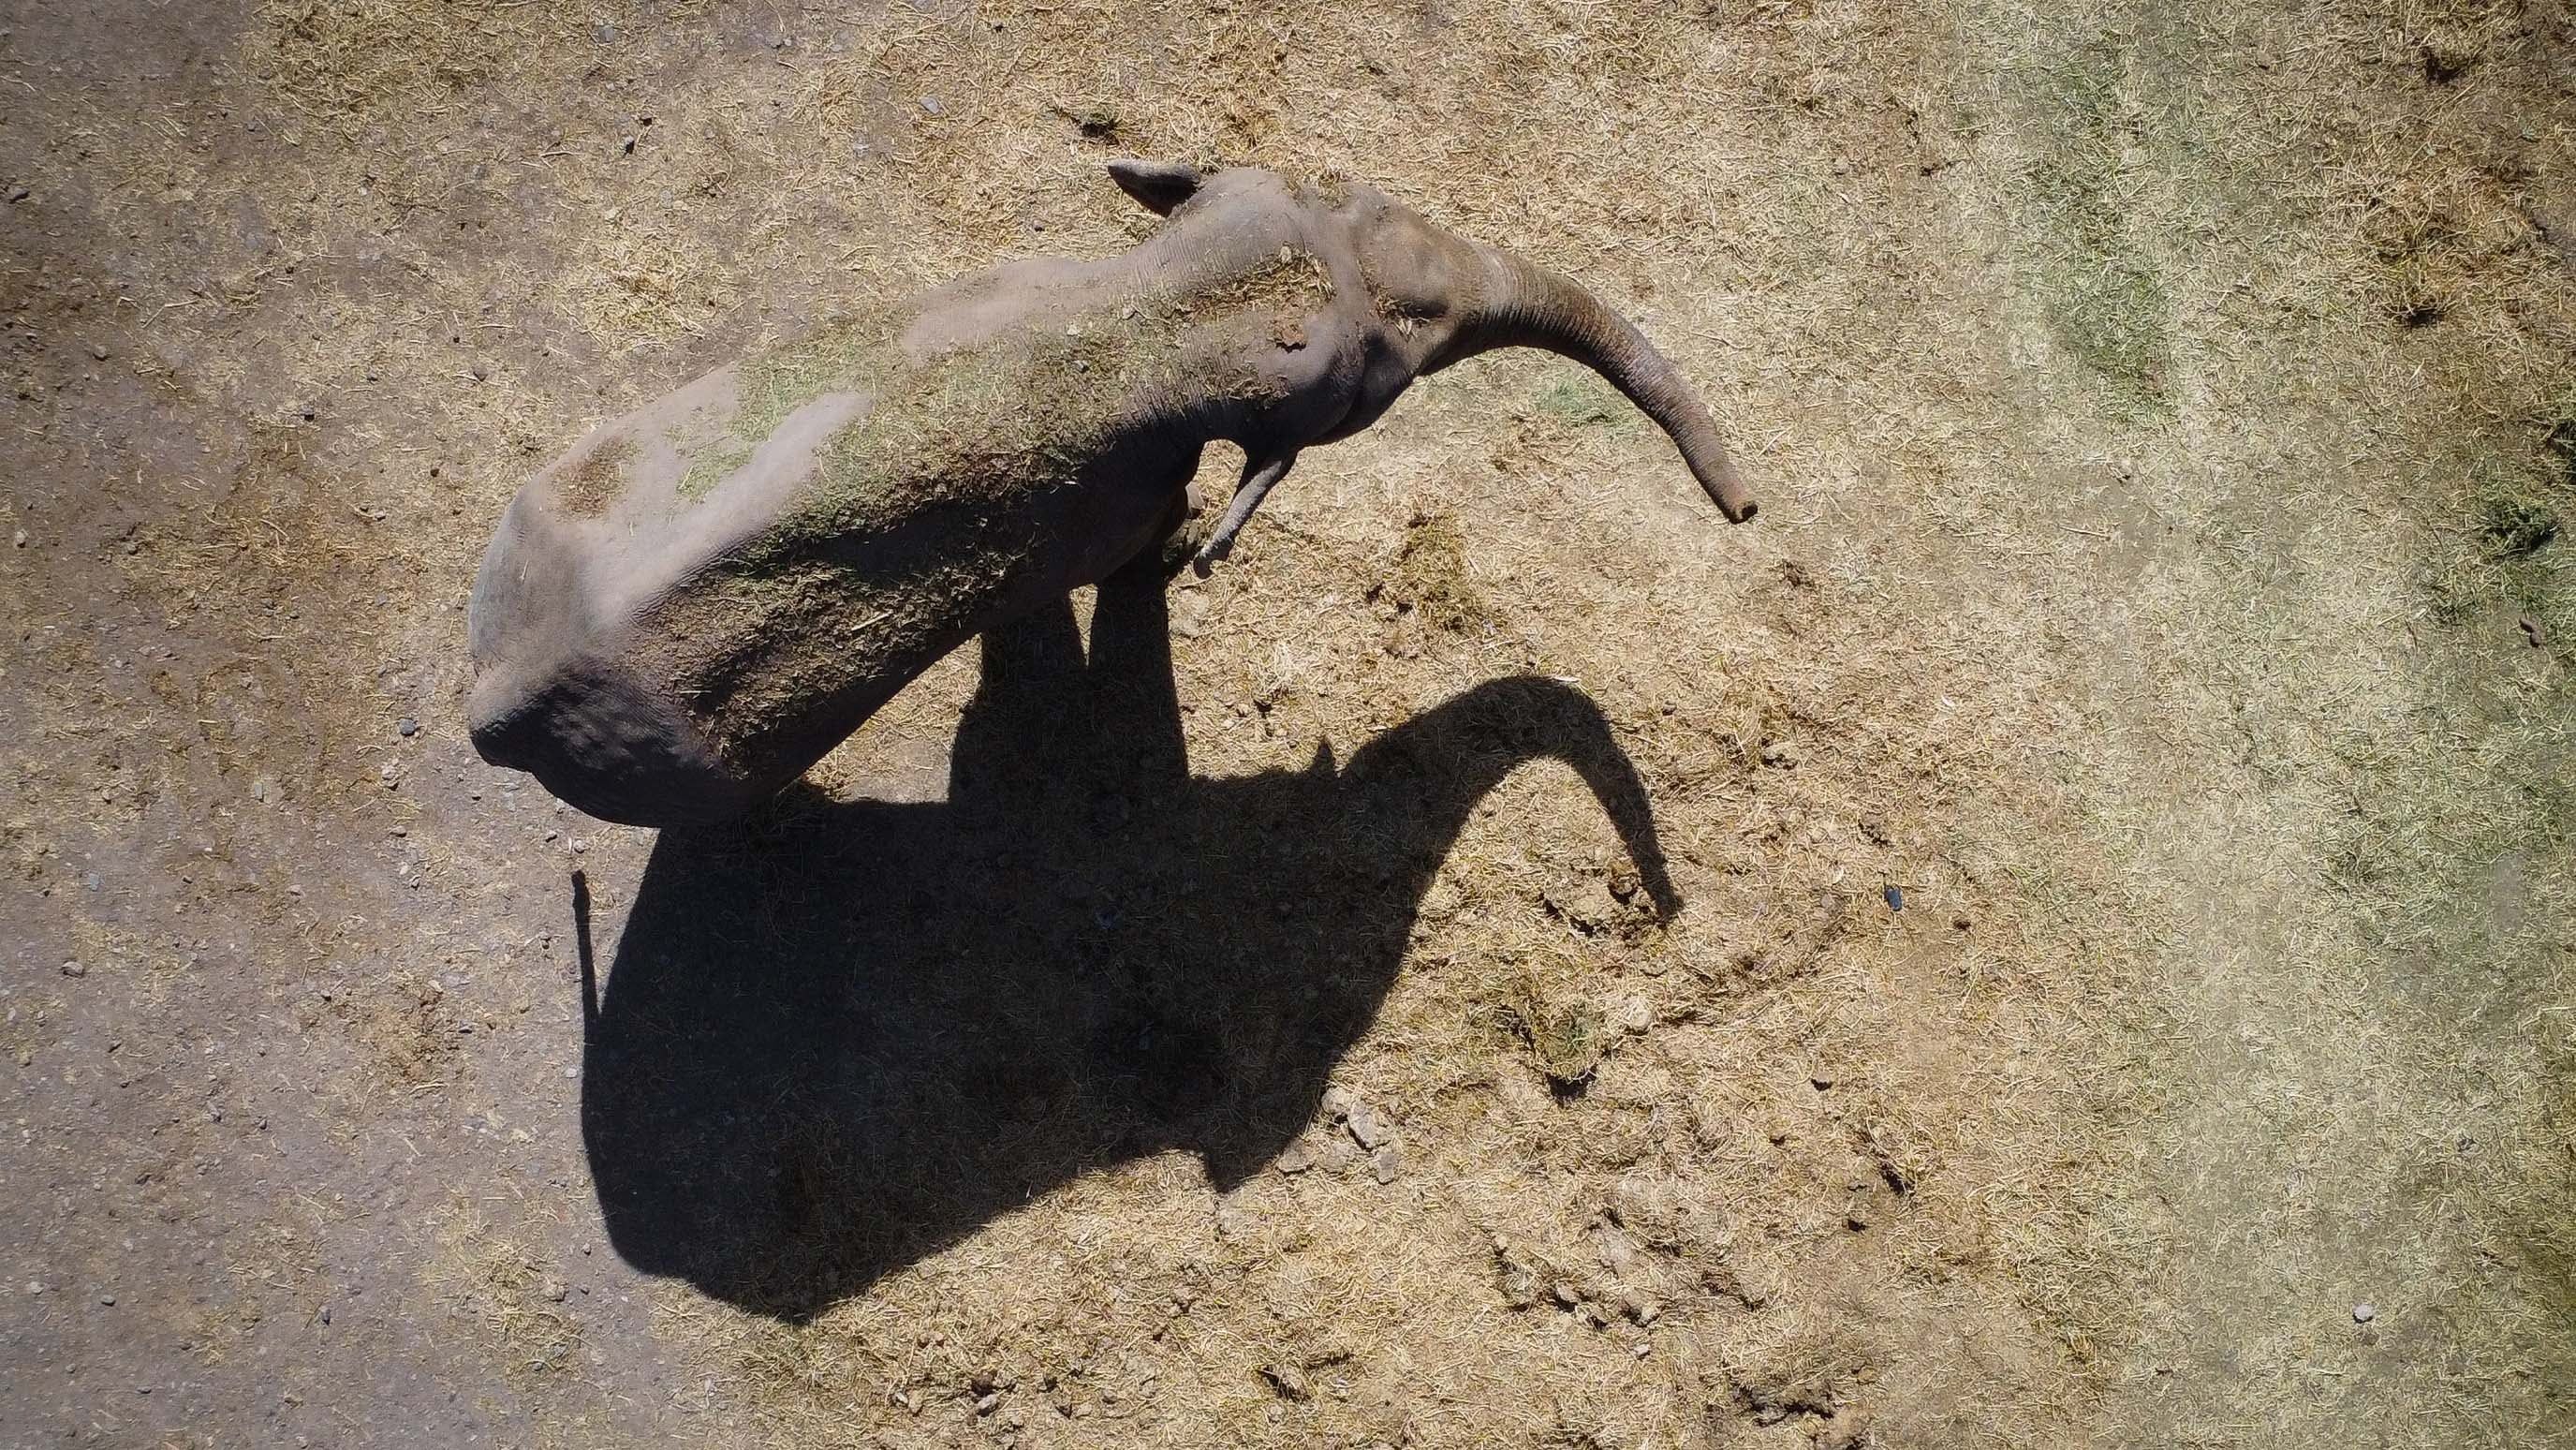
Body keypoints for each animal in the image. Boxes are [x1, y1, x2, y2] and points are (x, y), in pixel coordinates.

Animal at [467, 159, 1758, 826]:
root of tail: (489, 705)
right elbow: (1131, 559)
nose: (1748, 512)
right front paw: (1187, 558)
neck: (1154, 316)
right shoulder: (1105, 497)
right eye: (1393, 369)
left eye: (1350, 194)